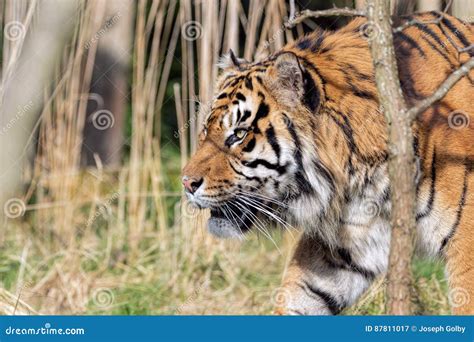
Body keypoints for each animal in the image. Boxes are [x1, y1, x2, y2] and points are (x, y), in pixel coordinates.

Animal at [181, 11, 474, 316]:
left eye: (238, 134)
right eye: (205, 129)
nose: (186, 183)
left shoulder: (467, 244)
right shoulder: (350, 242)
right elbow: (297, 295)